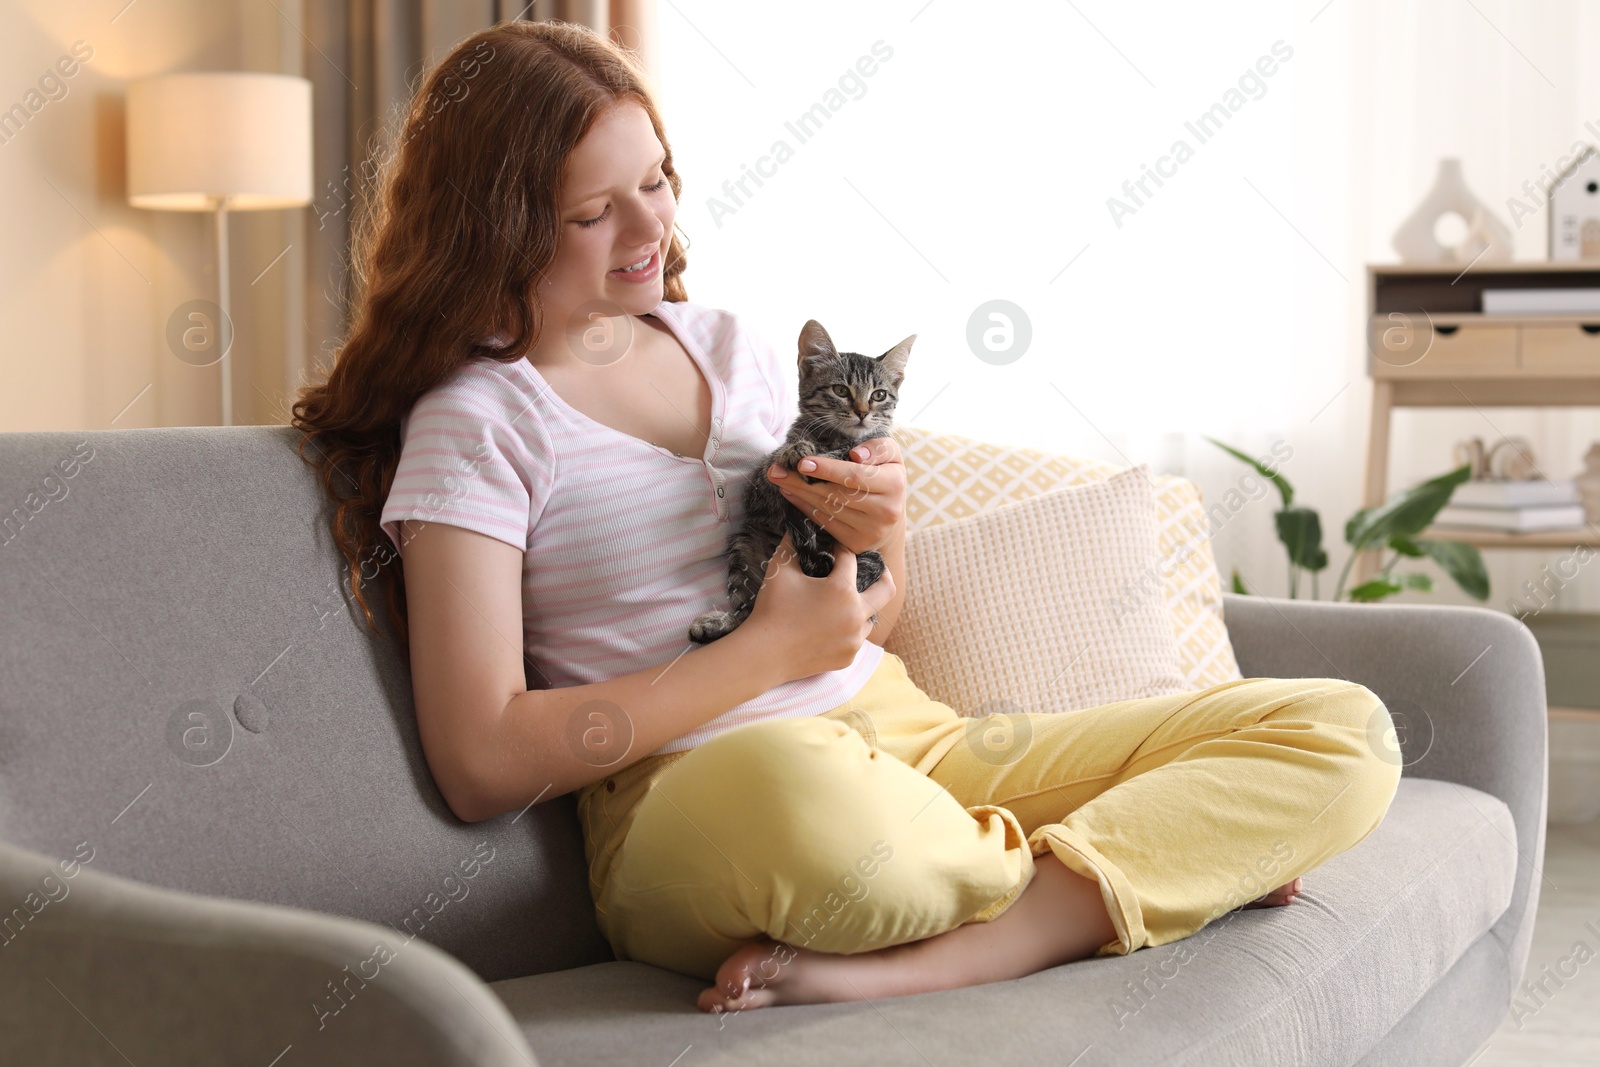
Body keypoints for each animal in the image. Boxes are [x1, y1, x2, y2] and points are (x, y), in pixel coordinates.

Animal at [688, 319, 915, 643]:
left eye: (879, 395)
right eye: (840, 390)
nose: (862, 412)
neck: (835, 437)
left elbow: (852, 453)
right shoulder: (759, 488)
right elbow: (771, 463)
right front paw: (794, 450)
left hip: (871, 560)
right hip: (744, 542)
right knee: (749, 609)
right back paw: (717, 623)